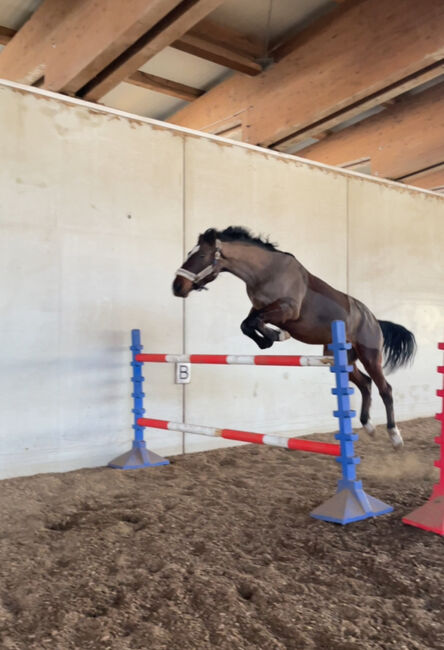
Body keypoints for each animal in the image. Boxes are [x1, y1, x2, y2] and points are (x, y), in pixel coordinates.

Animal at [173, 227, 416, 446]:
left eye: (201, 256)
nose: (177, 287)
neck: (266, 272)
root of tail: (374, 321)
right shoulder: (259, 308)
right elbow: (246, 324)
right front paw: (269, 339)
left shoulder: (287, 310)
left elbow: (254, 322)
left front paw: (277, 336)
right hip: (342, 358)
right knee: (365, 383)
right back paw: (368, 425)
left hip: (369, 356)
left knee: (385, 388)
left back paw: (395, 435)